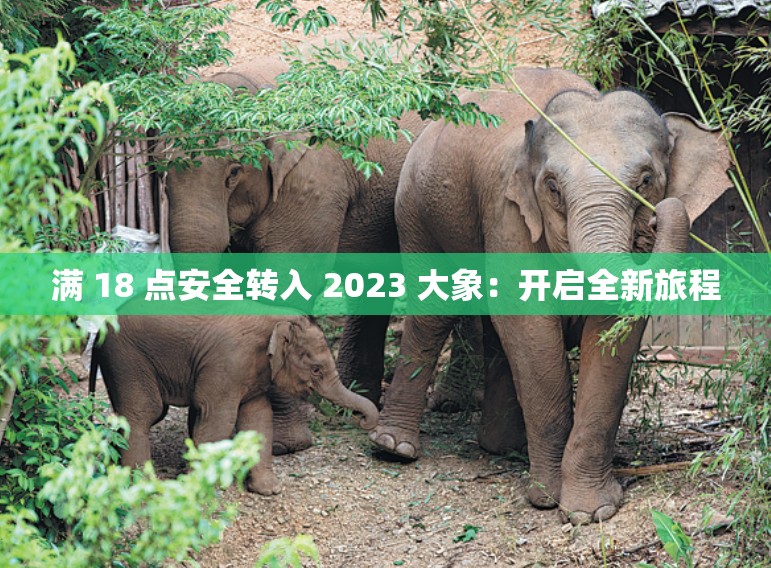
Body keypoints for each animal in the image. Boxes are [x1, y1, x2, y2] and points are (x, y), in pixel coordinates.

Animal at [91, 314, 379, 495]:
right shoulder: (229, 363)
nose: (364, 422)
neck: (276, 321)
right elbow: (218, 417)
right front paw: (196, 487)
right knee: (143, 414)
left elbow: (258, 418)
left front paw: (270, 490)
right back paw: (142, 484)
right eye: (316, 369)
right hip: (127, 359)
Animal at [370, 67, 732, 524]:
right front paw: (547, 498)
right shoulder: (510, 215)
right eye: (553, 188)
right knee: (432, 313)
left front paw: (589, 511)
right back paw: (394, 448)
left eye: (647, 180)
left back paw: (502, 445)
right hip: (418, 209)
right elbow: (530, 328)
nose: (654, 218)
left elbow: (610, 335)